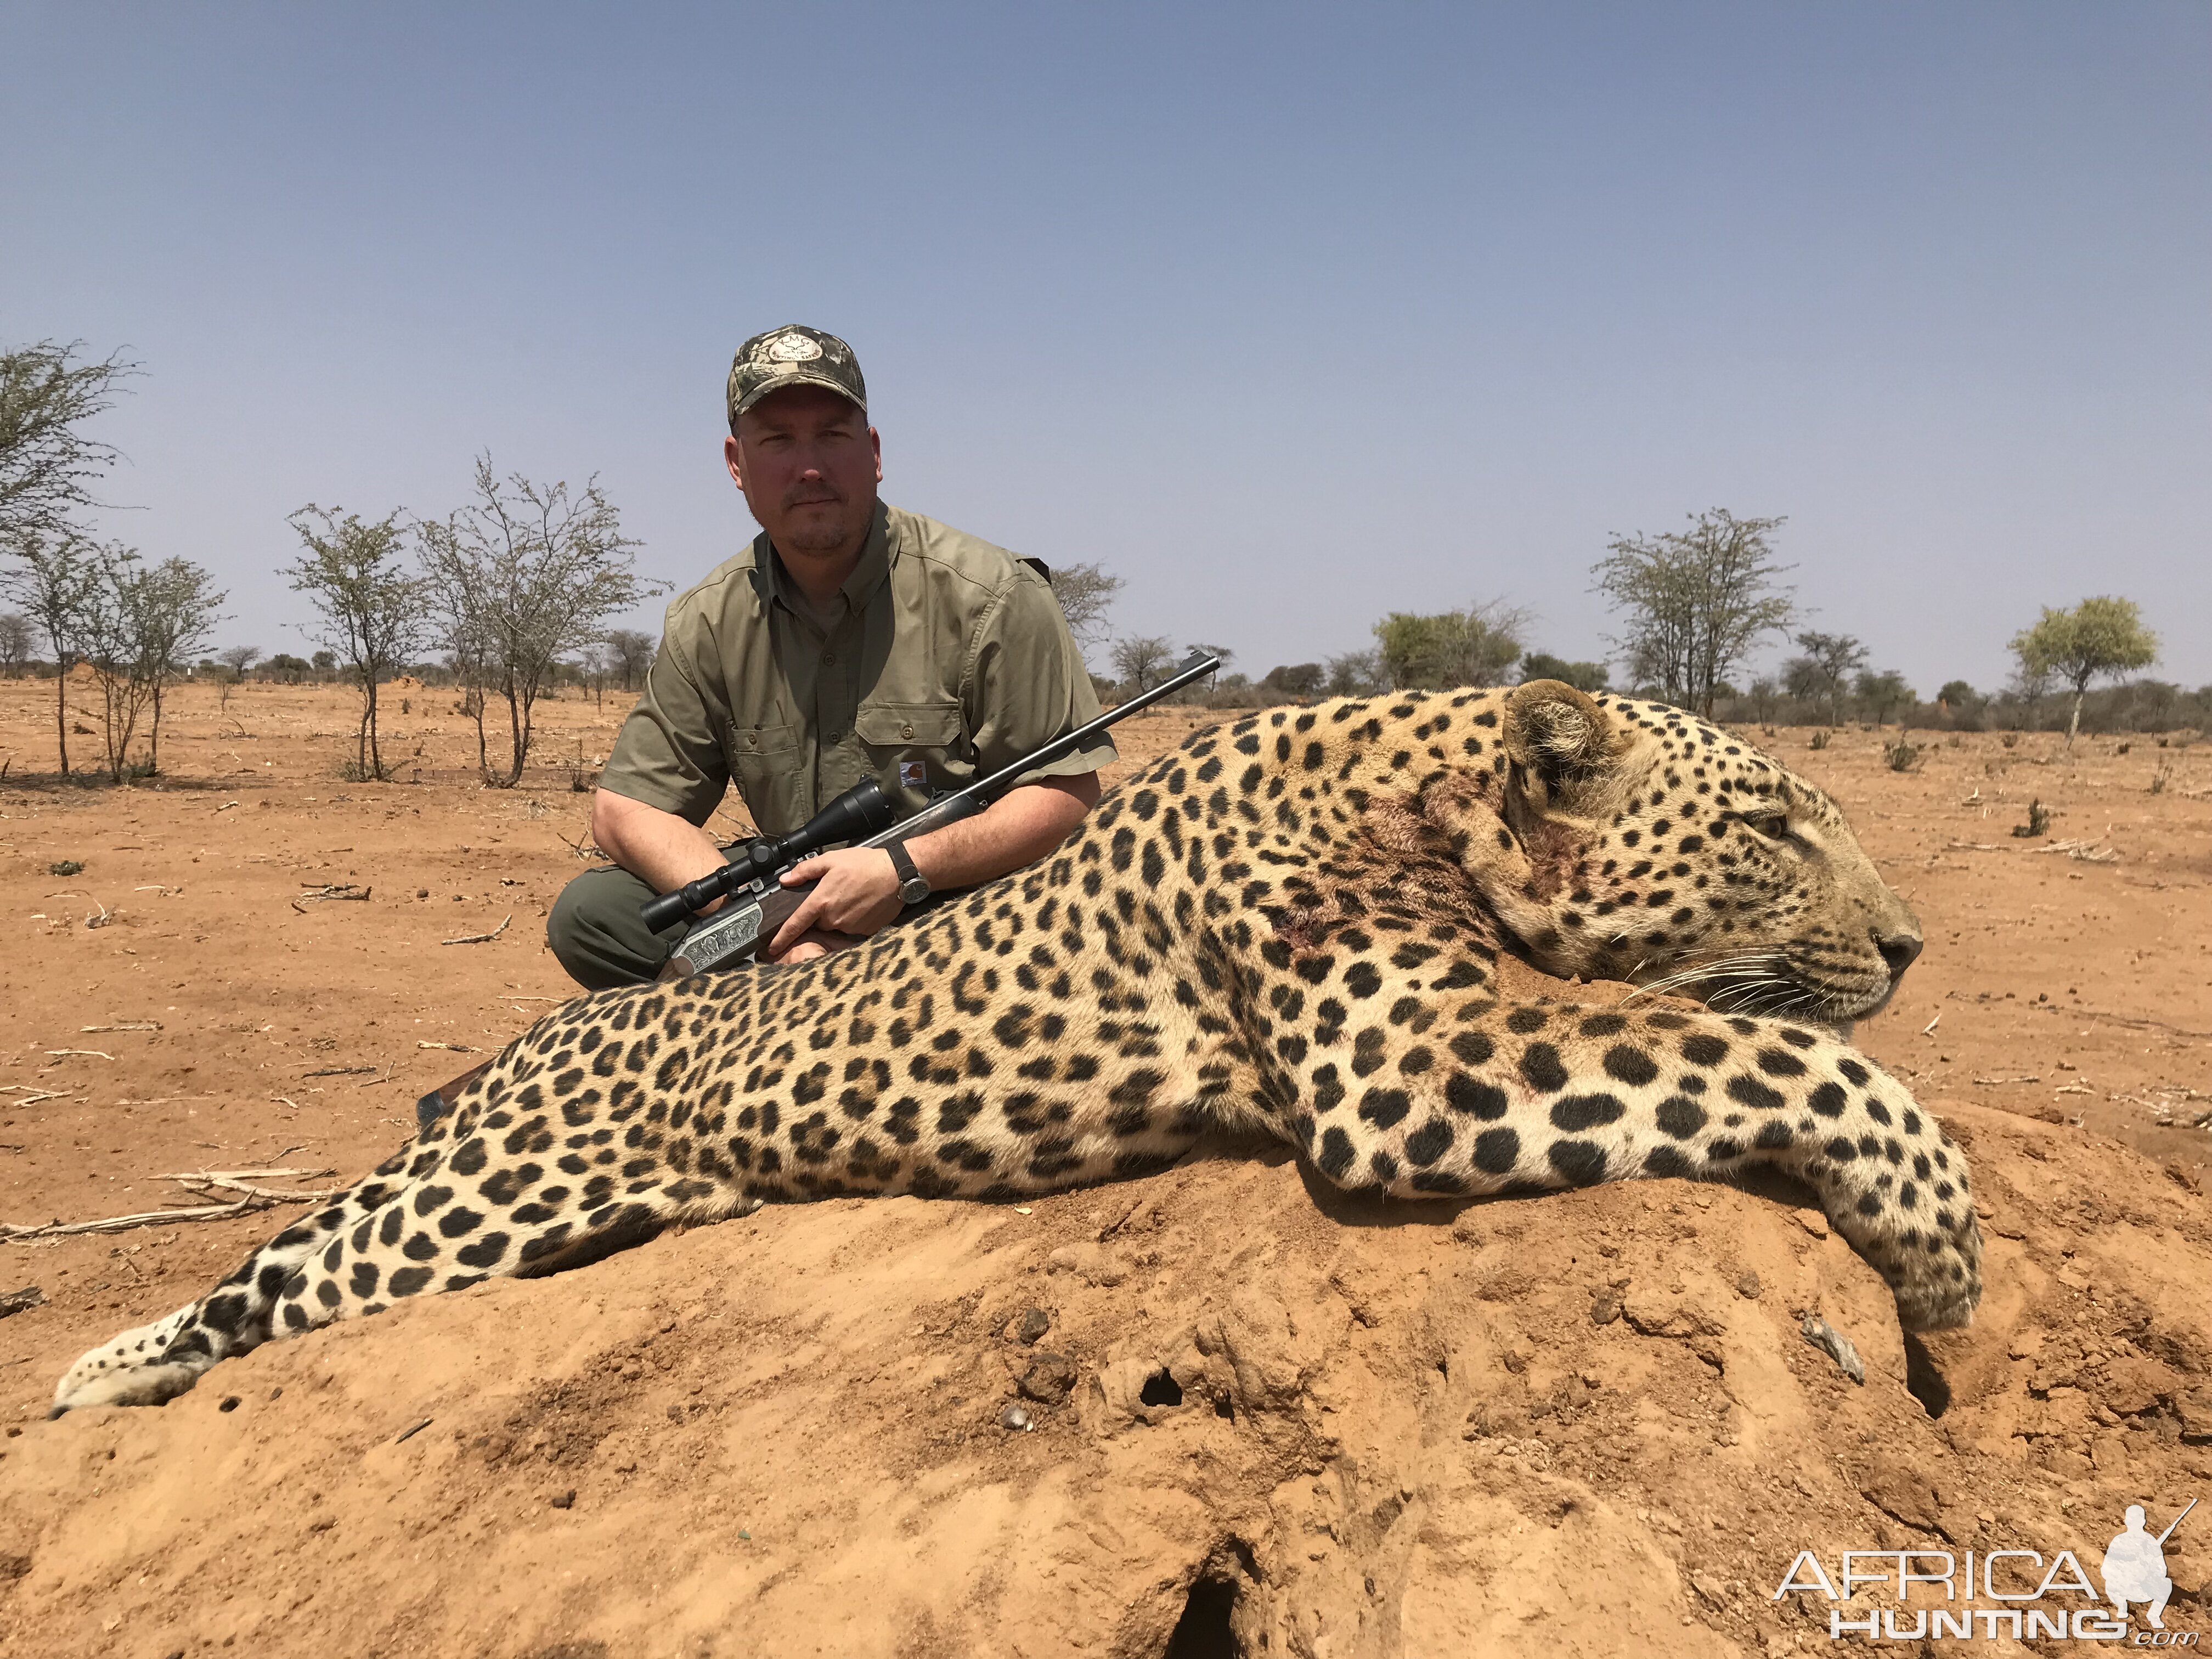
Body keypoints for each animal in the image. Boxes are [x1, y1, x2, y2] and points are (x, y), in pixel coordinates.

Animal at [52, 676, 1990, 1415]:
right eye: (1772, 829)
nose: (1910, 943)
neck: (1433, 787)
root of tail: (548, 1029)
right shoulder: (1411, 1065)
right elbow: (1779, 1058)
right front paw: (1940, 1243)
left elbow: (1738, 1038)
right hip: (466, 1200)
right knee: (267, 1276)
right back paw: (98, 1373)